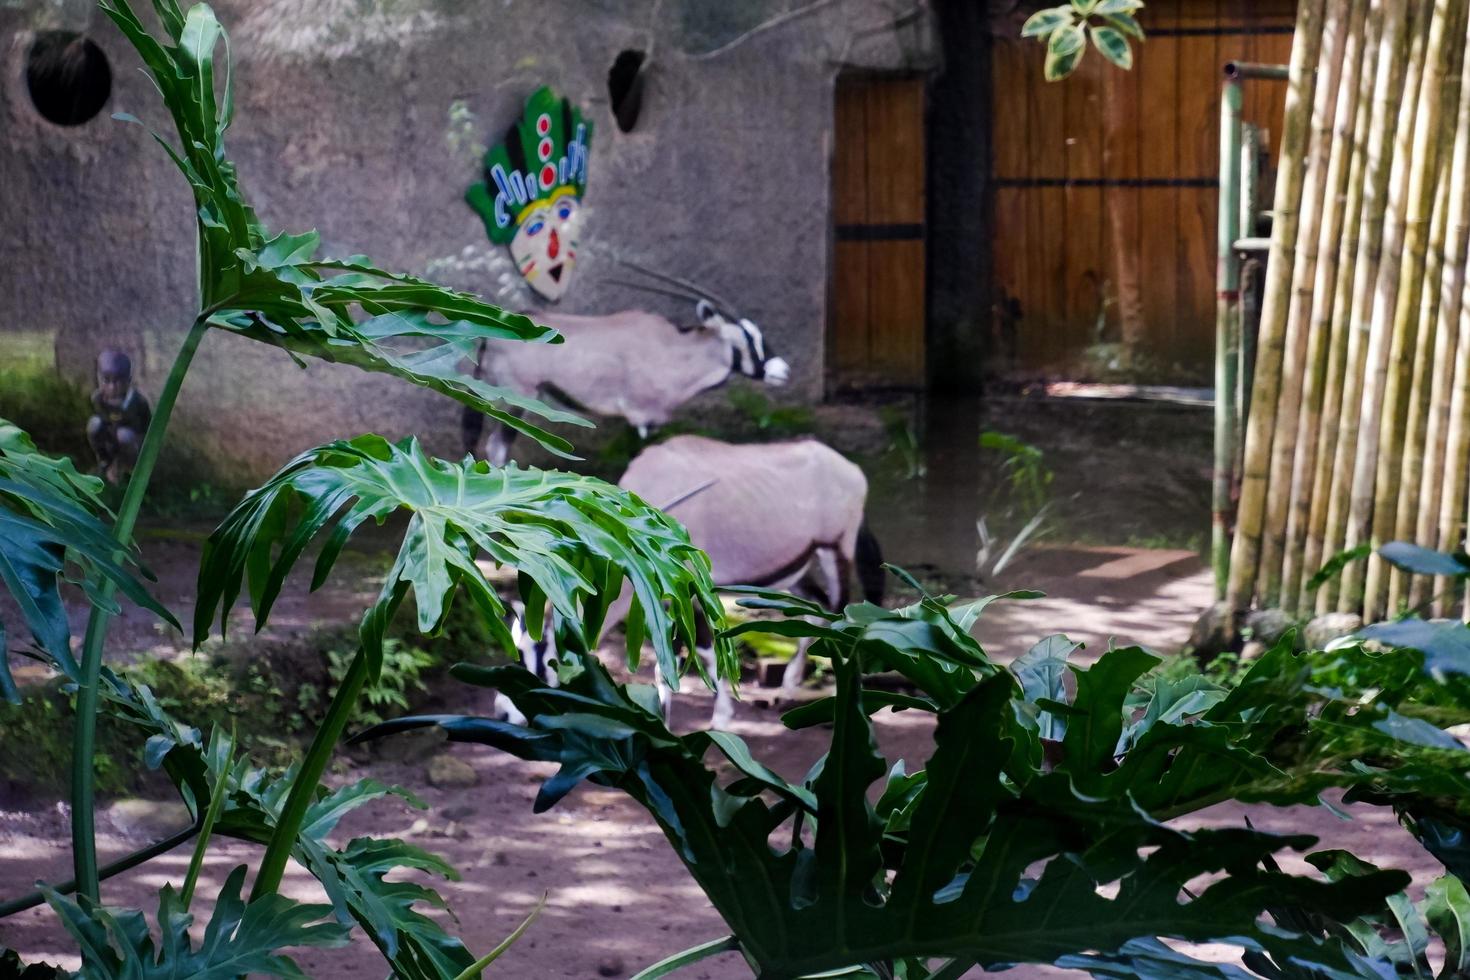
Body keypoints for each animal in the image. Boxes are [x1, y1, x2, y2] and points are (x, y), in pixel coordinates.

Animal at [499, 434, 882, 728]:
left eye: (540, 653)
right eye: (515, 647)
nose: (503, 714)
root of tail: (850, 468)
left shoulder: (691, 590)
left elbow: (703, 652)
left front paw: (721, 717)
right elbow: (662, 663)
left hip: (835, 550)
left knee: (837, 610)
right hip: (796, 569)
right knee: (815, 608)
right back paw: (788, 688)